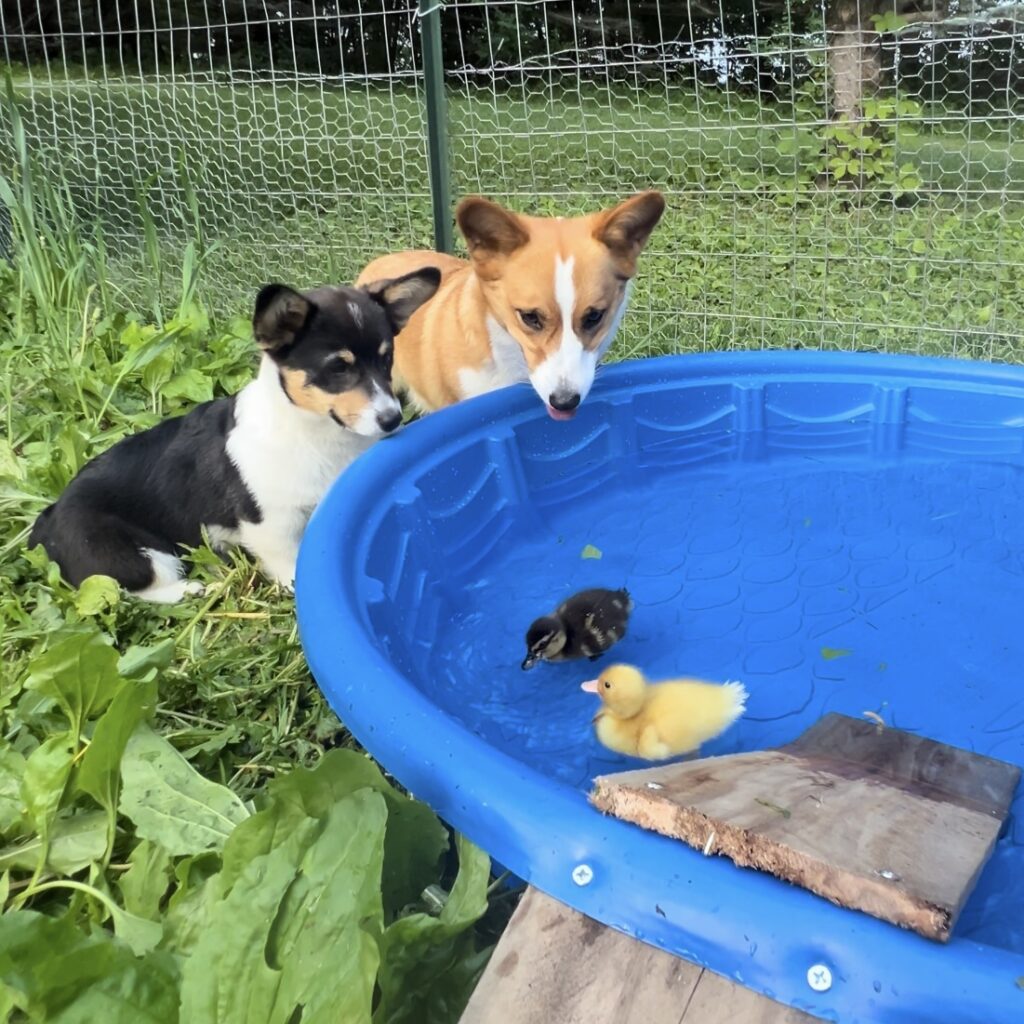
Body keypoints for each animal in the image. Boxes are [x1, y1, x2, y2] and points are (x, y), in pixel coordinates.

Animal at [29, 268, 438, 602]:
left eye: (387, 359)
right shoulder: (271, 523)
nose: (392, 419)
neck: (315, 434)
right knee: (132, 588)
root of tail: (48, 516)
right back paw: (195, 588)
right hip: (132, 554)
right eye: (338, 368)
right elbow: (291, 566)